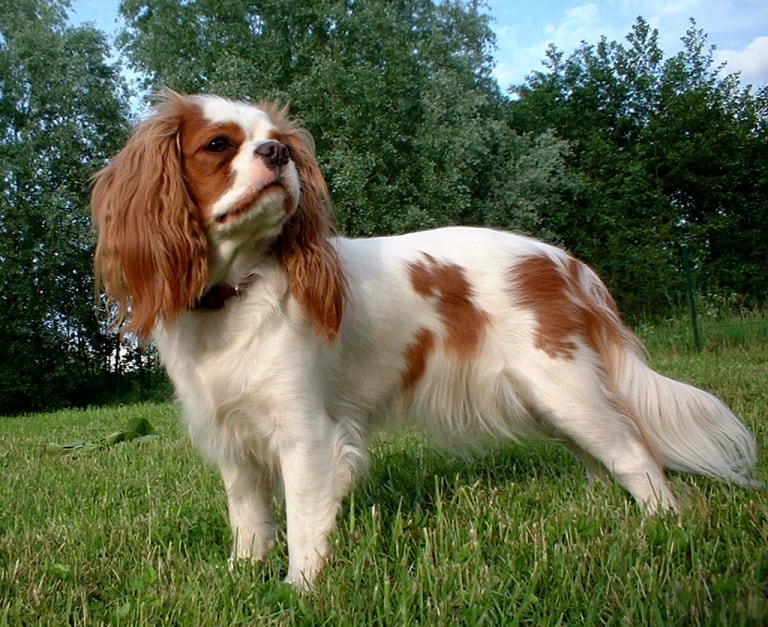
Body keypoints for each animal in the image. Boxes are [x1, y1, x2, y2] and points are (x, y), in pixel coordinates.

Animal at [90, 92, 756, 588]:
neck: (235, 292)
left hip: (564, 385)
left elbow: (304, 522)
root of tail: (566, 263)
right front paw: (241, 575)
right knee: (602, 455)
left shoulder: (306, 435)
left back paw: (664, 526)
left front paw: (300, 589)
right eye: (218, 145)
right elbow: (249, 518)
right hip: (550, 399)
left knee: (637, 455)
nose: (276, 153)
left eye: (276, 140)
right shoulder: (232, 437)